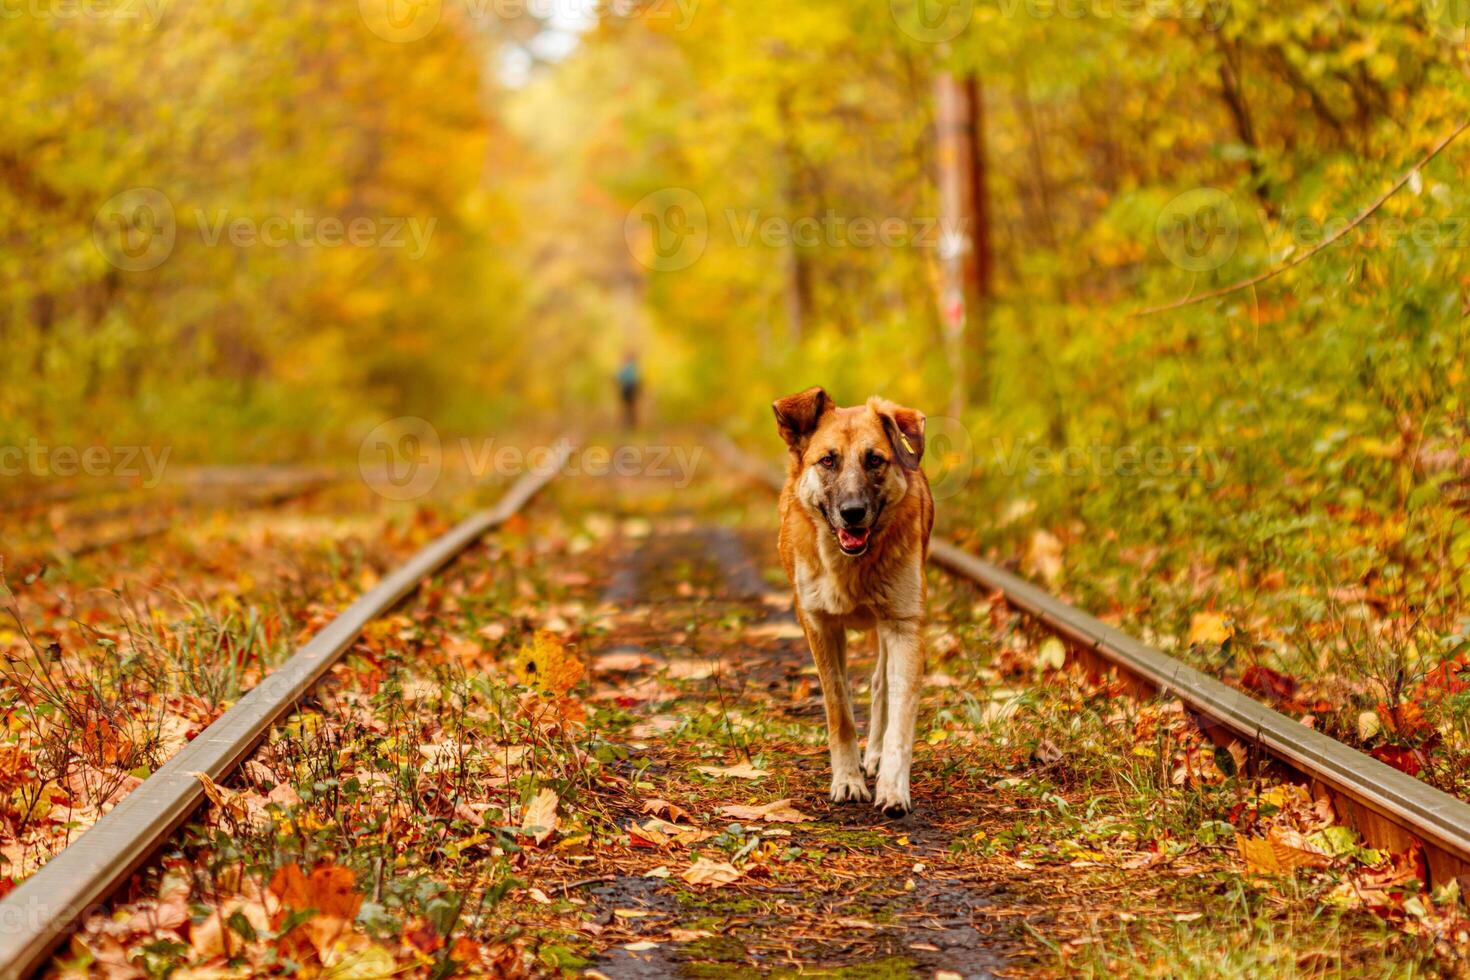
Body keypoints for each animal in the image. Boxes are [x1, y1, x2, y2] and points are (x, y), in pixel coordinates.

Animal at [770, 387, 929, 816]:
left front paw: (893, 786)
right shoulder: (820, 625)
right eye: (828, 460)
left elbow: (900, 718)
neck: (851, 566)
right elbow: (838, 706)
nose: (853, 513)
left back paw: (874, 756)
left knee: (880, 685)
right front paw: (847, 780)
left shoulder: (904, 624)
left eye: (874, 459)